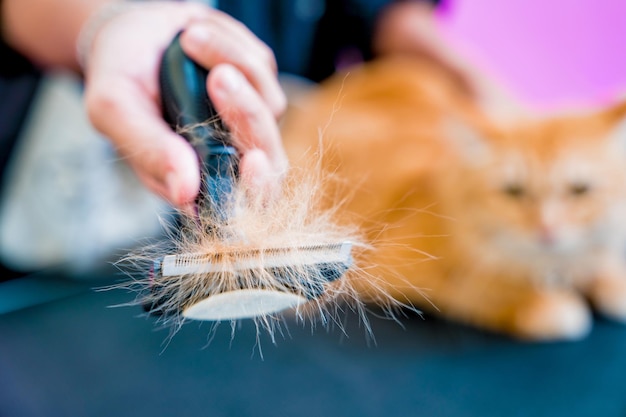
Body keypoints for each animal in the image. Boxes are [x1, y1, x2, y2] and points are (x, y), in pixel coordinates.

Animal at [280, 57, 624, 340]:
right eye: (514, 191)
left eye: (579, 190)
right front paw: (547, 305)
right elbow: (489, 294)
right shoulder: (399, 270)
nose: (547, 229)